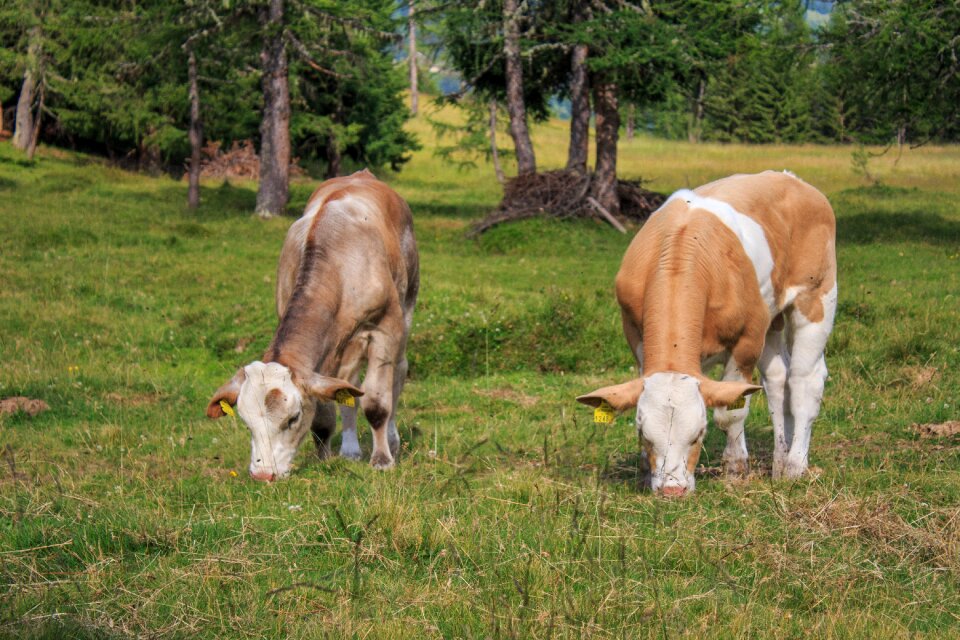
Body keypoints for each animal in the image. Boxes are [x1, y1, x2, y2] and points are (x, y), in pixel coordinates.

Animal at [208, 170, 418, 480]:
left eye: (293, 418)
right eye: (246, 422)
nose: (263, 474)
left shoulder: (384, 328)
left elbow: (377, 403)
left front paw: (382, 460)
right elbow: (326, 410)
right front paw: (323, 457)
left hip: (407, 307)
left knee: (398, 374)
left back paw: (391, 440)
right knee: (351, 388)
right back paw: (350, 449)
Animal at [572, 170, 836, 496]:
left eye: (698, 435)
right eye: (644, 434)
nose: (672, 490)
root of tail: (791, 179)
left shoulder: (747, 339)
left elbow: (731, 412)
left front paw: (735, 469)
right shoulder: (635, 335)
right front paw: (646, 473)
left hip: (817, 296)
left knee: (804, 380)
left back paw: (795, 466)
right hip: (771, 316)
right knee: (777, 379)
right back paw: (779, 461)